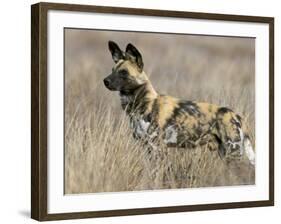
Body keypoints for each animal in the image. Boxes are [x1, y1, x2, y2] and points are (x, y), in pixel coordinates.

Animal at [103, 41, 254, 165]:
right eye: (112, 70)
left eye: (123, 72)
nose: (105, 81)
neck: (143, 103)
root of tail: (236, 115)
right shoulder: (147, 147)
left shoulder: (157, 147)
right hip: (226, 155)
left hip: (233, 154)